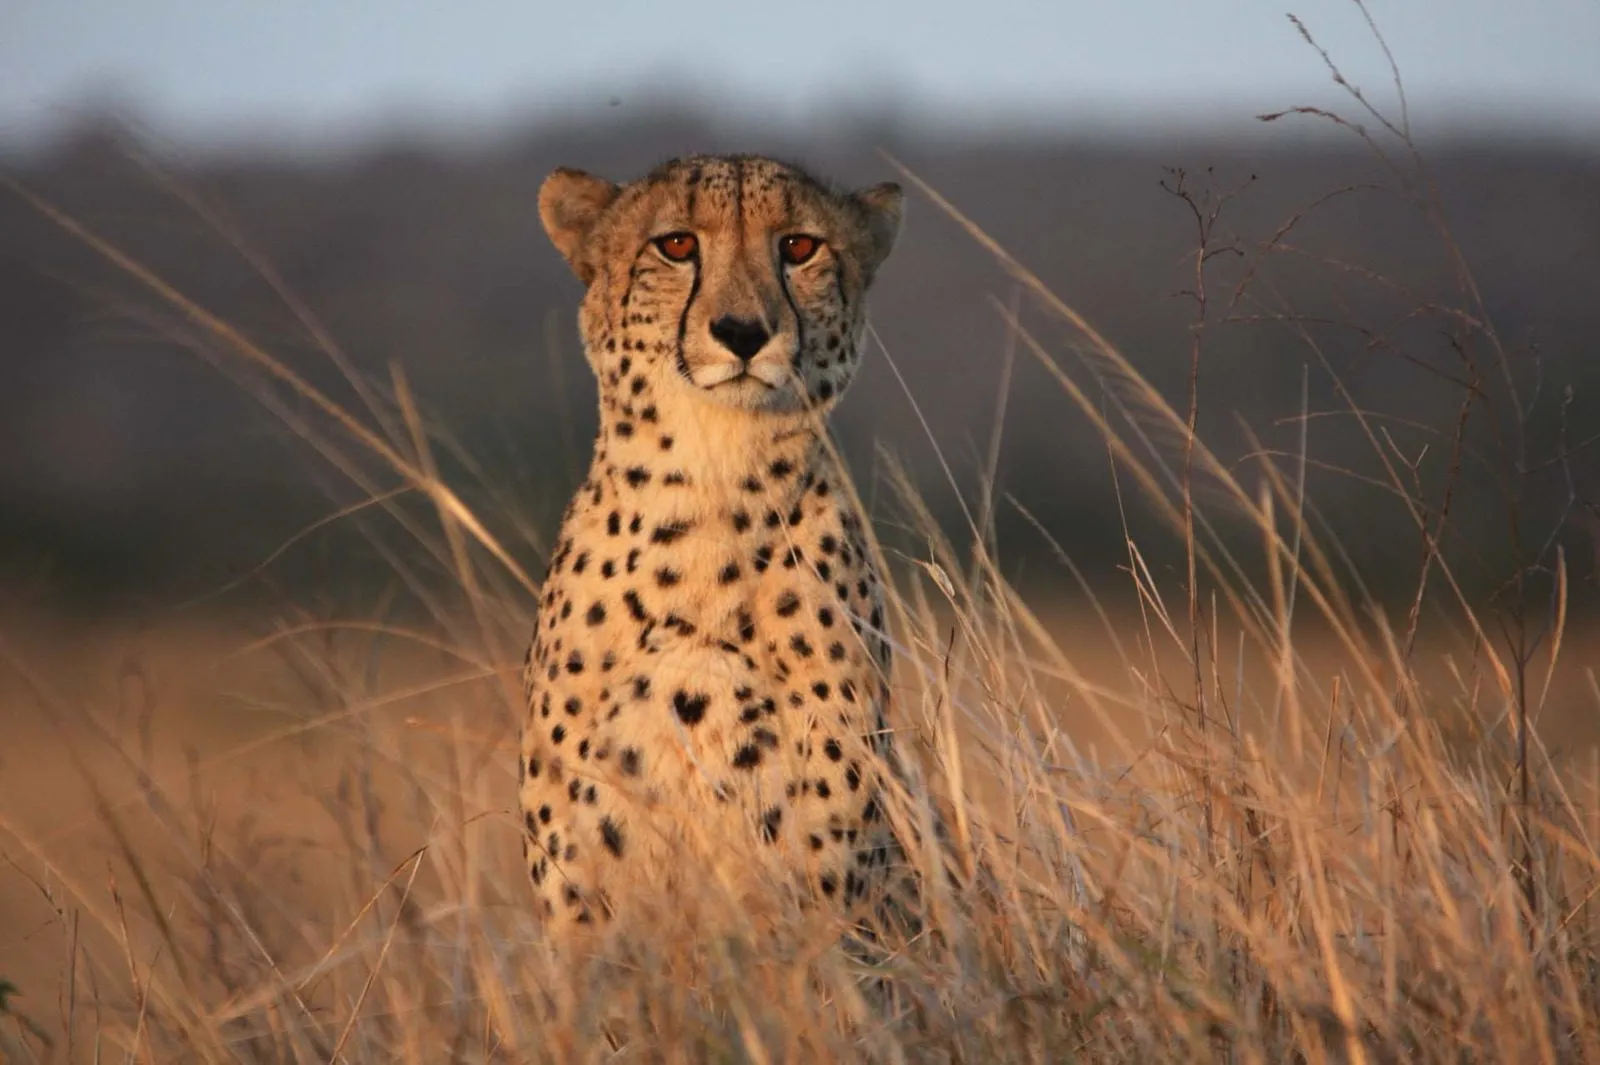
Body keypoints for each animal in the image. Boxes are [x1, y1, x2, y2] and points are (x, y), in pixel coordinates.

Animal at [519, 154, 908, 943]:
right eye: (676, 245)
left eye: (798, 247)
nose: (742, 331)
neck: (712, 489)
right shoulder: (580, 905)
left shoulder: (833, 890)